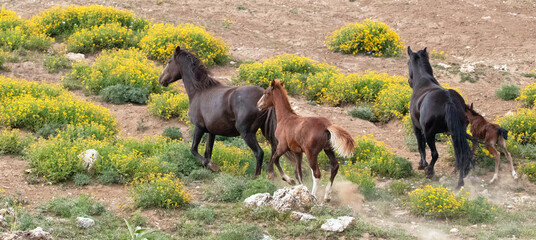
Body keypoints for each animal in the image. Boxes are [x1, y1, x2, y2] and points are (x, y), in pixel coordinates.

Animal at [158, 46, 294, 178]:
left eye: (169, 61)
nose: (160, 79)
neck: (199, 91)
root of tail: (263, 96)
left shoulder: (199, 127)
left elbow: (194, 150)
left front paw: (212, 166)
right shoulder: (211, 132)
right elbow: (208, 151)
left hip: (247, 133)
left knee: (259, 153)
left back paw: (255, 178)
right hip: (265, 132)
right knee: (273, 151)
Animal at [408, 46, 472, 188]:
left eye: (408, 63)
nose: (409, 81)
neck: (423, 82)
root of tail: (448, 100)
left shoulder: (417, 128)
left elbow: (421, 146)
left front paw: (422, 165)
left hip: (430, 134)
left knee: (435, 153)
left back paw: (429, 171)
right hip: (457, 133)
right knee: (463, 154)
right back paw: (460, 182)